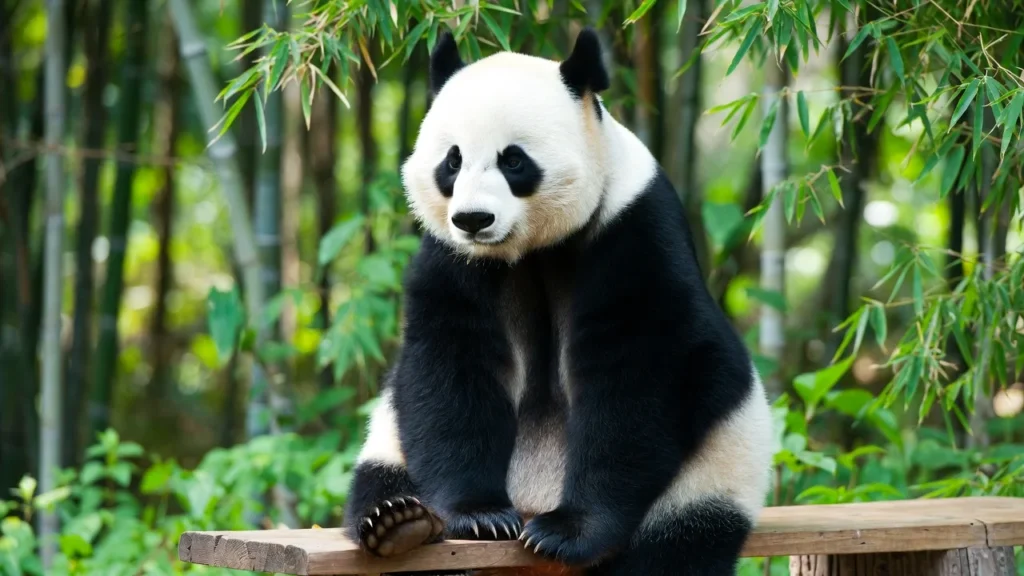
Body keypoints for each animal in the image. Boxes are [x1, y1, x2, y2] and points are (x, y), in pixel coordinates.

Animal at [341, 26, 774, 576]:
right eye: (452, 160)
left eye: (513, 160)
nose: (474, 219)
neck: (530, 249)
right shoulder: (454, 259)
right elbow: (451, 371)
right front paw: (479, 515)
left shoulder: (633, 229)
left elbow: (638, 381)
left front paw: (567, 531)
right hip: (388, 441)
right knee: (382, 472)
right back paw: (398, 523)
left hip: (712, 470)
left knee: (677, 544)